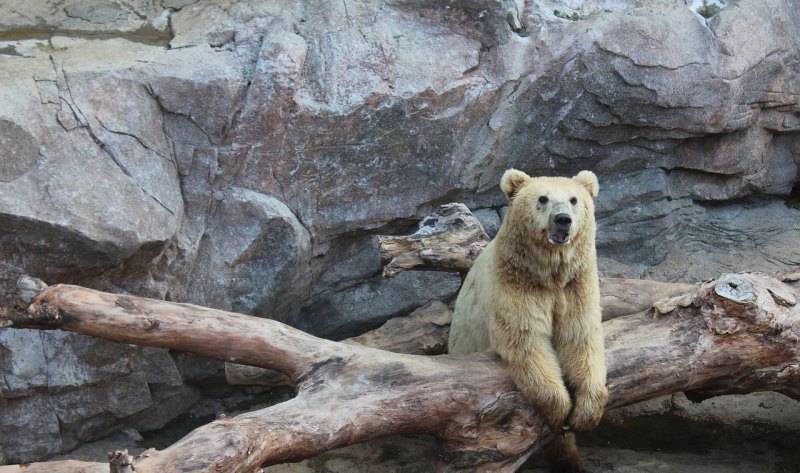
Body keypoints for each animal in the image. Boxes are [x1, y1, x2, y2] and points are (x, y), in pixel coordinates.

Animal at [450, 168, 608, 470]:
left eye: (574, 200)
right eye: (542, 199)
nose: (563, 220)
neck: (549, 274)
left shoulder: (576, 284)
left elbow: (580, 337)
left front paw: (587, 412)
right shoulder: (517, 282)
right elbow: (526, 340)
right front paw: (560, 410)